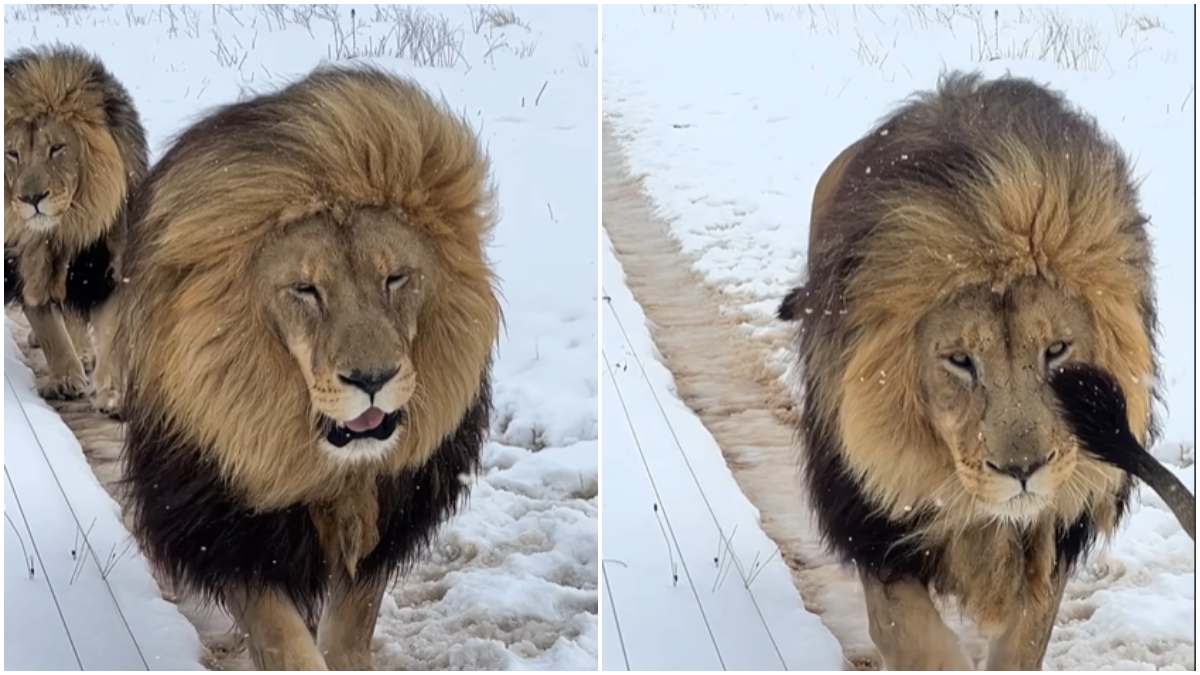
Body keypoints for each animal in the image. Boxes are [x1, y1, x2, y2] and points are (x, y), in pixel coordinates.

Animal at [4, 45, 148, 410]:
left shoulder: (106, 263)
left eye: (57, 148)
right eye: (12, 154)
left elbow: (110, 330)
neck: (64, 229)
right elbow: (48, 326)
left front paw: (111, 392)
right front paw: (66, 379)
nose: (32, 198)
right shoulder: (25, 262)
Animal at [119, 68, 499, 667]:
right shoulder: (227, 530)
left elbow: (352, 623)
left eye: (395, 278)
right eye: (305, 289)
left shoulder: (384, 517)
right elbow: (281, 633)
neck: (319, 463)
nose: (372, 380)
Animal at [777, 73, 1152, 667]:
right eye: (959, 360)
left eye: (1057, 349)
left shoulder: (1051, 539)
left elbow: (1022, 644)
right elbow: (919, 643)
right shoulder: (875, 529)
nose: (1023, 470)